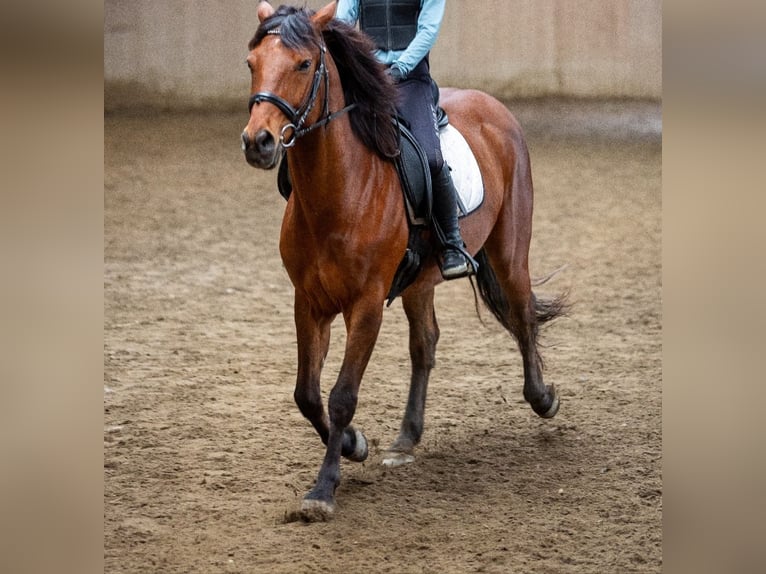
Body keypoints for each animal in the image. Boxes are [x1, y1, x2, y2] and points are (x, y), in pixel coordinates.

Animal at [243, 0, 568, 520]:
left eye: (304, 64)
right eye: (251, 63)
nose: (259, 142)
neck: (340, 190)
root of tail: (493, 106)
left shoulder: (366, 304)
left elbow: (341, 395)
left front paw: (323, 490)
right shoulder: (308, 302)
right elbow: (306, 394)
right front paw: (354, 445)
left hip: (509, 250)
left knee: (521, 315)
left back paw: (543, 399)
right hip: (420, 281)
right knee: (426, 345)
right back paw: (406, 438)